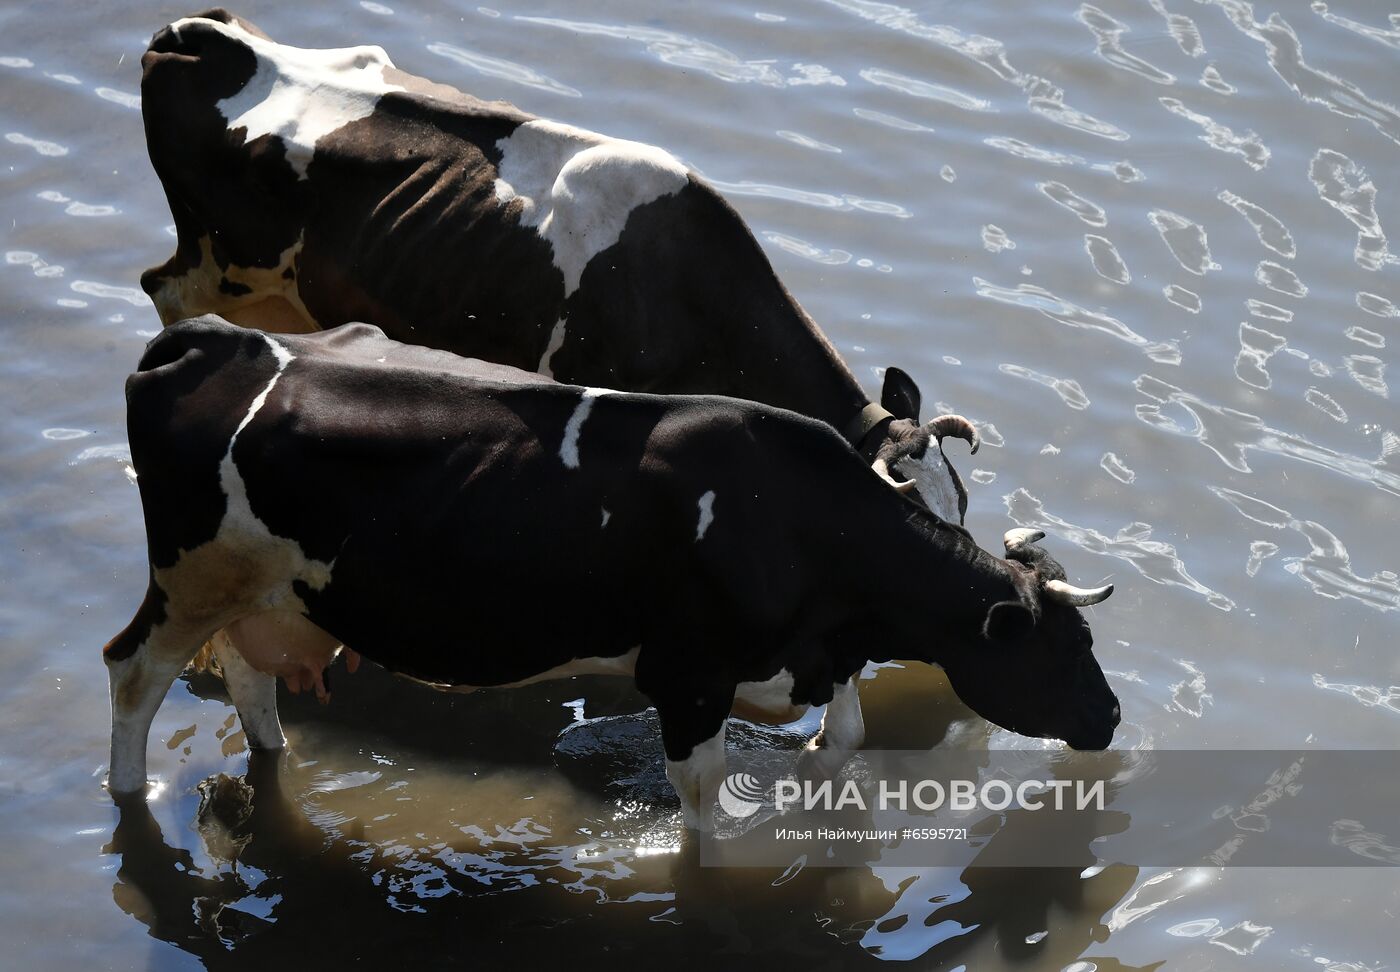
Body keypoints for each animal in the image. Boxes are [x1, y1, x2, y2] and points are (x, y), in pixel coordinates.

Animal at [103, 319, 1120, 829]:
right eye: (1064, 649)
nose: (1111, 716)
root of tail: (207, 335)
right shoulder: (690, 678)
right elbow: (704, 808)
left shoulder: (811, 657)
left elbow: (846, 739)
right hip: (189, 578)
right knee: (133, 672)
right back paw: (127, 799)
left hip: (271, 592)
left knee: (248, 674)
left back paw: (271, 768)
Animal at [139, 11, 974, 521]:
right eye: (908, 508)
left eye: (961, 505)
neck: (693, 300)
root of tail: (198, 31)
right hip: (212, 261)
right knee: (166, 294)